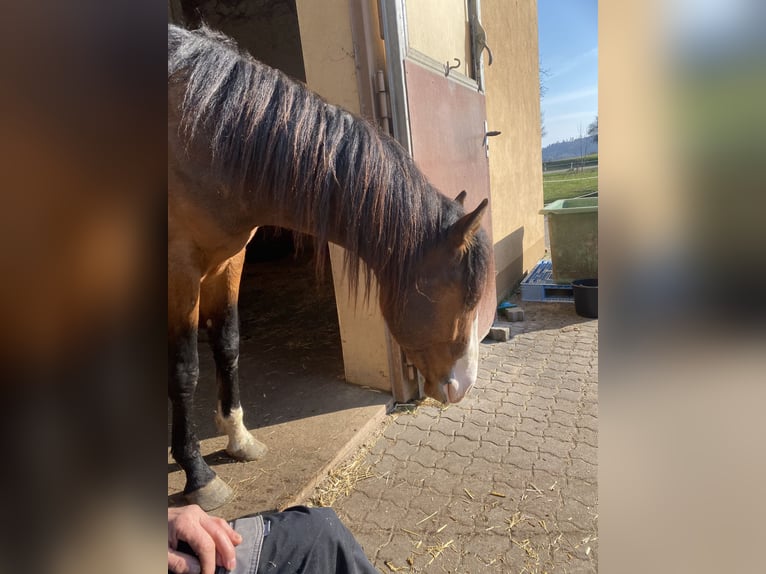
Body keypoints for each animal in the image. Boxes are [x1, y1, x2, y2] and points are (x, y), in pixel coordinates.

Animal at [168, 24, 491, 510]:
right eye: (460, 298)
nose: (464, 386)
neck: (206, 137)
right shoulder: (180, 270)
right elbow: (187, 368)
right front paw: (198, 474)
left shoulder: (227, 262)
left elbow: (227, 345)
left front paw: (238, 437)